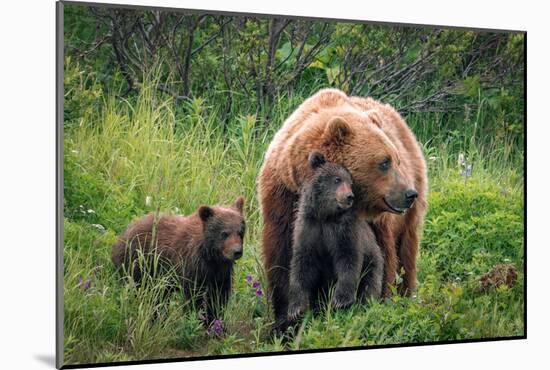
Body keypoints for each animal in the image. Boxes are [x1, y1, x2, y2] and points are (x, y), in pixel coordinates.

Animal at [112, 197, 246, 324]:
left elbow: (219, 297)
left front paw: (215, 321)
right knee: (140, 290)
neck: (211, 256)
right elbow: (195, 297)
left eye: (240, 232)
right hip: (138, 263)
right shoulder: (192, 266)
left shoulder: (221, 272)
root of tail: (125, 231)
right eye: (224, 233)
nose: (237, 251)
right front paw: (198, 319)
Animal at [288, 152, 384, 322]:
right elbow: (302, 264)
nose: (349, 196)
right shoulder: (308, 228)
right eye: (337, 179)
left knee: (370, 284)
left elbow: (348, 258)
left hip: (373, 261)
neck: (325, 216)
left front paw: (341, 300)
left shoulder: (344, 230)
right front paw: (296, 309)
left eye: (350, 183)